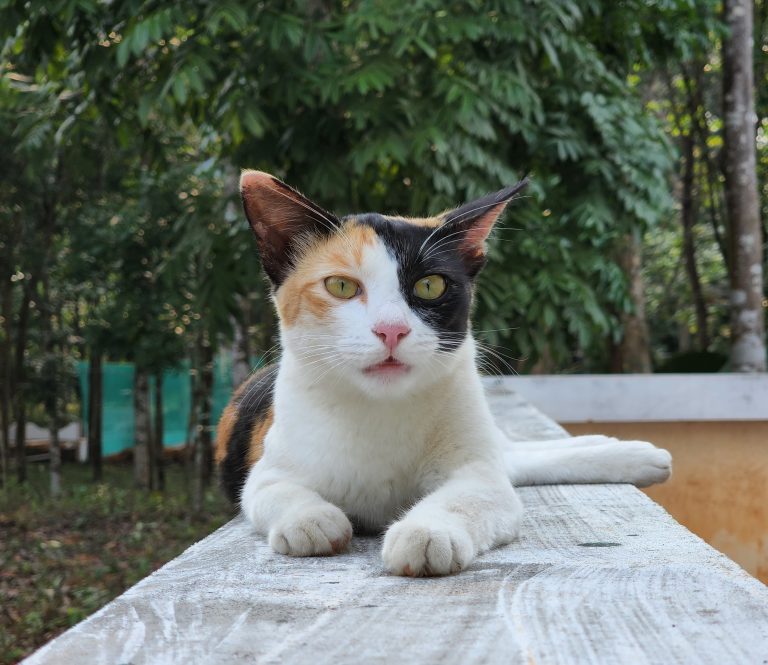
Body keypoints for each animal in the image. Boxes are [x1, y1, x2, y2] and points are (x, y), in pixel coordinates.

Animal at [216, 171, 672, 576]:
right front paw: (310, 519)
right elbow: (272, 490)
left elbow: (469, 495)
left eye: (430, 286)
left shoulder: (477, 471)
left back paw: (631, 454)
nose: (392, 330)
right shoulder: (269, 466)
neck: (380, 410)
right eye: (341, 287)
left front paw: (425, 532)